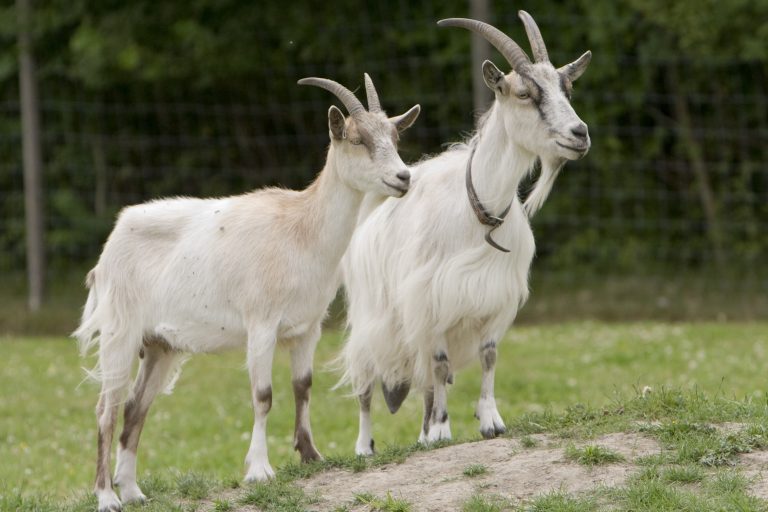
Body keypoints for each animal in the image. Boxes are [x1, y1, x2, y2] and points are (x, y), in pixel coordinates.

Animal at [73, 75, 420, 512]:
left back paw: (134, 491)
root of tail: (112, 244)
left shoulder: (307, 329)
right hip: (120, 334)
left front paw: (311, 455)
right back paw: (107, 496)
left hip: (159, 346)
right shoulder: (261, 325)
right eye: (357, 139)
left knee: (136, 407)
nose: (404, 178)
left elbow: (302, 387)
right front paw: (259, 470)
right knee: (107, 408)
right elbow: (263, 394)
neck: (301, 230)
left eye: (395, 135)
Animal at [340, 12, 591, 455]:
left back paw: (423, 434)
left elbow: (488, 357)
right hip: (372, 317)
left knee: (422, 379)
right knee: (367, 383)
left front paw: (489, 421)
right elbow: (440, 365)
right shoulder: (430, 298)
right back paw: (366, 446)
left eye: (568, 87)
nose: (580, 134)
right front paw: (443, 429)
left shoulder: (494, 295)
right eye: (524, 93)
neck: (479, 211)